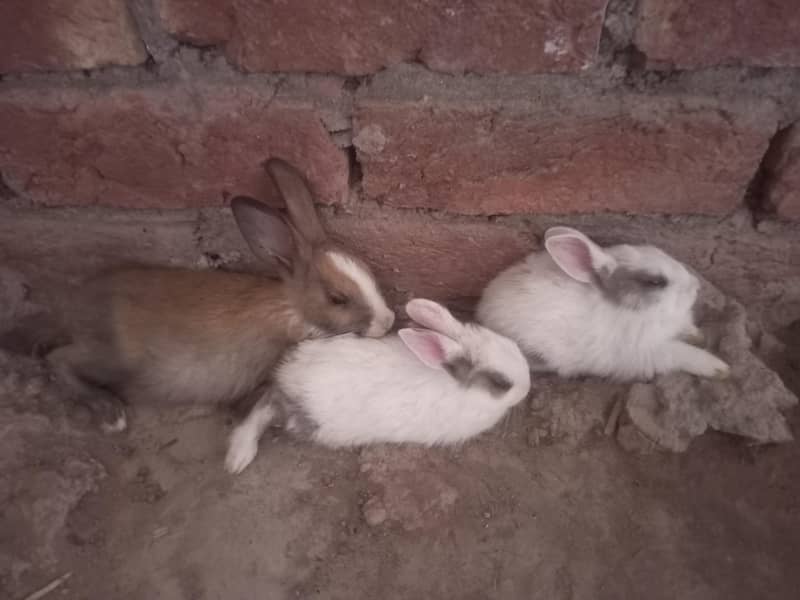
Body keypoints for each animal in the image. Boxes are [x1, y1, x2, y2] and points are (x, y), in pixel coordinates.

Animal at [46, 158, 395, 432]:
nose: (388, 320)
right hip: (113, 358)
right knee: (59, 360)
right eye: (337, 299)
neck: (292, 310)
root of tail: (73, 308)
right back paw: (110, 414)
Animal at [225, 298, 531, 474]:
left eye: (511, 344)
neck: (460, 384)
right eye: (501, 383)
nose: (528, 386)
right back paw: (238, 458)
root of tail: (289, 376)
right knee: (263, 408)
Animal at [476, 226, 730, 382]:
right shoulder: (650, 352)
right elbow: (683, 353)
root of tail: (482, 309)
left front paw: (698, 335)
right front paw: (718, 367)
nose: (696, 286)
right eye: (655, 282)